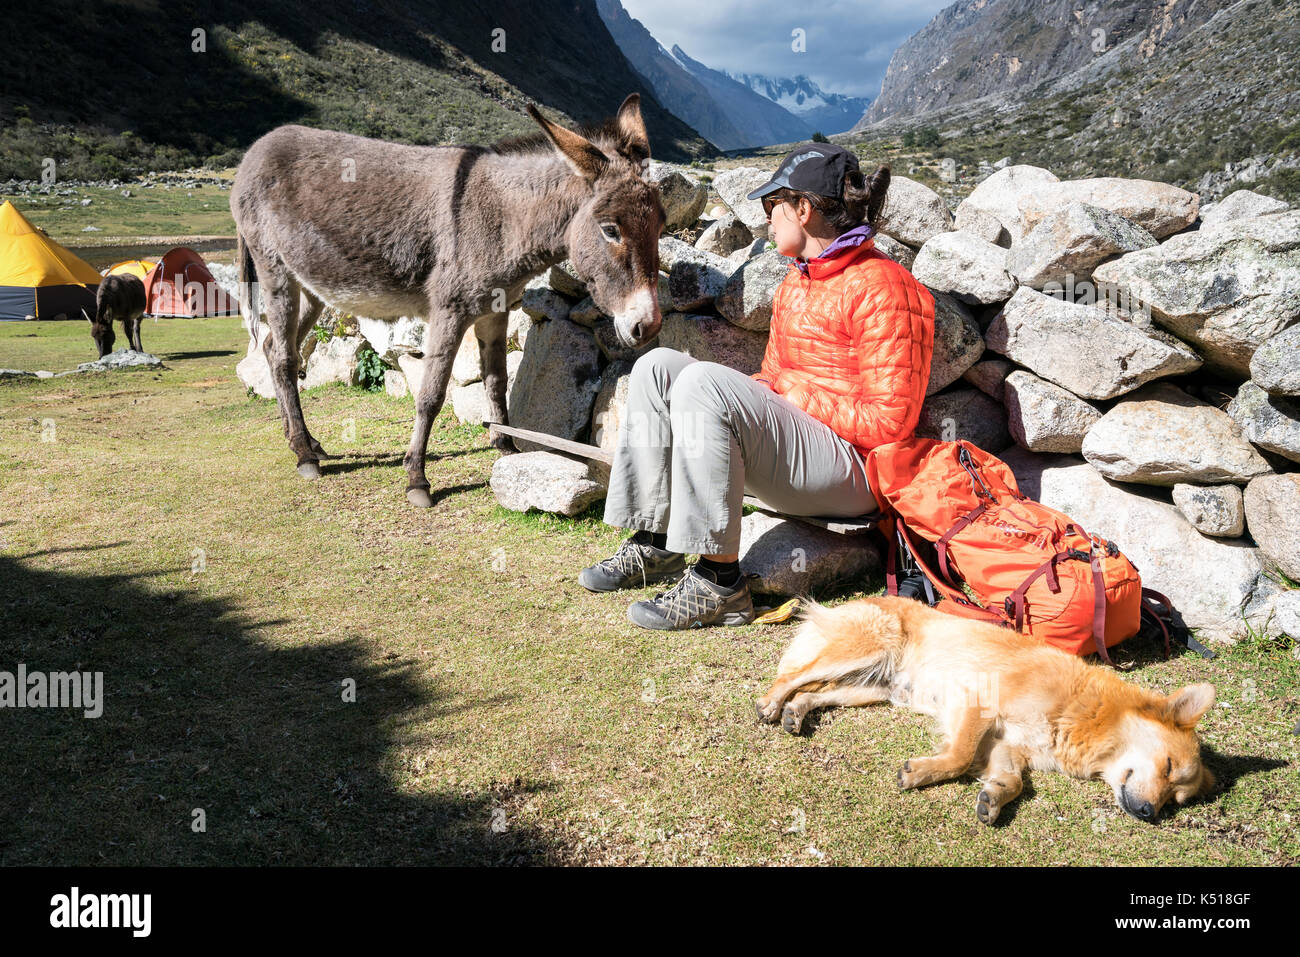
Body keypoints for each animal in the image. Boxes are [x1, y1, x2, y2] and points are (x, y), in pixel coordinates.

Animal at [759, 595, 1211, 826]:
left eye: (1176, 800)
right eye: (1168, 766)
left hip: (873, 686)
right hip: (867, 647)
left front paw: (993, 797)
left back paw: (796, 711)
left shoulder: (1004, 746)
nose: (1150, 814)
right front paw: (919, 773)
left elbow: (1015, 782)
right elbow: (959, 756)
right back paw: (771, 702)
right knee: (797, 674)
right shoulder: (978, 701)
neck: (1083, 712)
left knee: (818, 691)